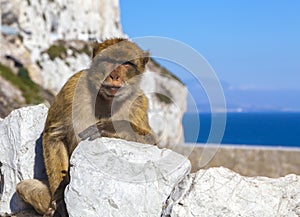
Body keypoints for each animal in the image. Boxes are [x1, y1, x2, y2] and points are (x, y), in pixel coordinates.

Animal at [15, 38, 157, 216]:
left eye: (126, 64)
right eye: (108, 60)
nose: (114, 75)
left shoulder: (139, 101)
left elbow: (151, 141)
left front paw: (110, 128)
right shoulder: (73, 85)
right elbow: (54, 135)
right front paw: (60, 195)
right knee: (24, 187)